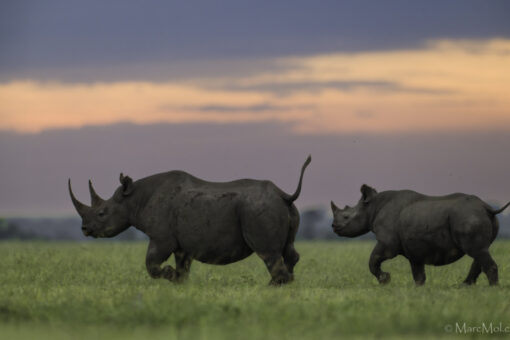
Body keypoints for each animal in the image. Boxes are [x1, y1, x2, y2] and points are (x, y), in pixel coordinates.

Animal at [69, 156, 310, 284]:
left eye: (102, 213)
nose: (84, 229)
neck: (134, 199)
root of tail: (285, 195)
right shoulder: (181, 244)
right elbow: (183, 266)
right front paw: (179, 281)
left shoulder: (161, 237)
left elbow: (151, 263)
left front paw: (168, 274)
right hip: (282, 209)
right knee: (288, 249)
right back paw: (286, 284)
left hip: (257, 209)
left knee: (268, 253)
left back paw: (268, 288)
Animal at [328, 185, 508, 286]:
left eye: (346, 217)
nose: (333, 227)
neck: (371, 207)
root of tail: (487, 208)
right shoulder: (414, 250)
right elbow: (418, 274)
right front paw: (418, 289)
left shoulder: (388, 244)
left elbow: (373, 260)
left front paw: (385, 280)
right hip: (475, 217)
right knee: (480, 251)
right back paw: (465, 286)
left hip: (468, 216)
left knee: (477, 251)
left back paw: (493, 289)